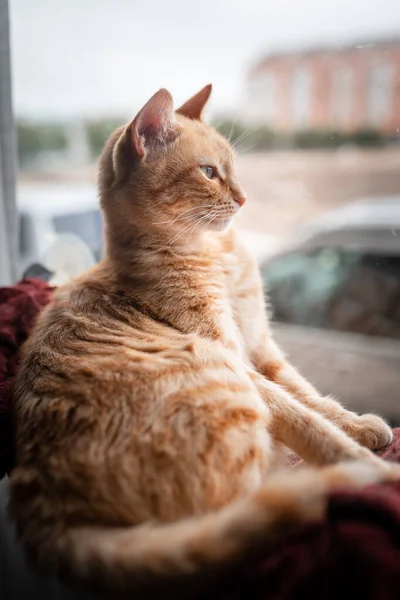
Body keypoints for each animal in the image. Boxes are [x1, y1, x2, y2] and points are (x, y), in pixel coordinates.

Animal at [10, 85, 398, 596]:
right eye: (209, 173)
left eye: (232, 169)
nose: (245, 197)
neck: (217, 252)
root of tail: (46, 504)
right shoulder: (238, 360)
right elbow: (306, 419)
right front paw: (366, 462)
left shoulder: (262, 348)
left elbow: (313, 397)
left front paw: (358, 425)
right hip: (225, 388)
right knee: (248, 504)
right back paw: (340, 480)